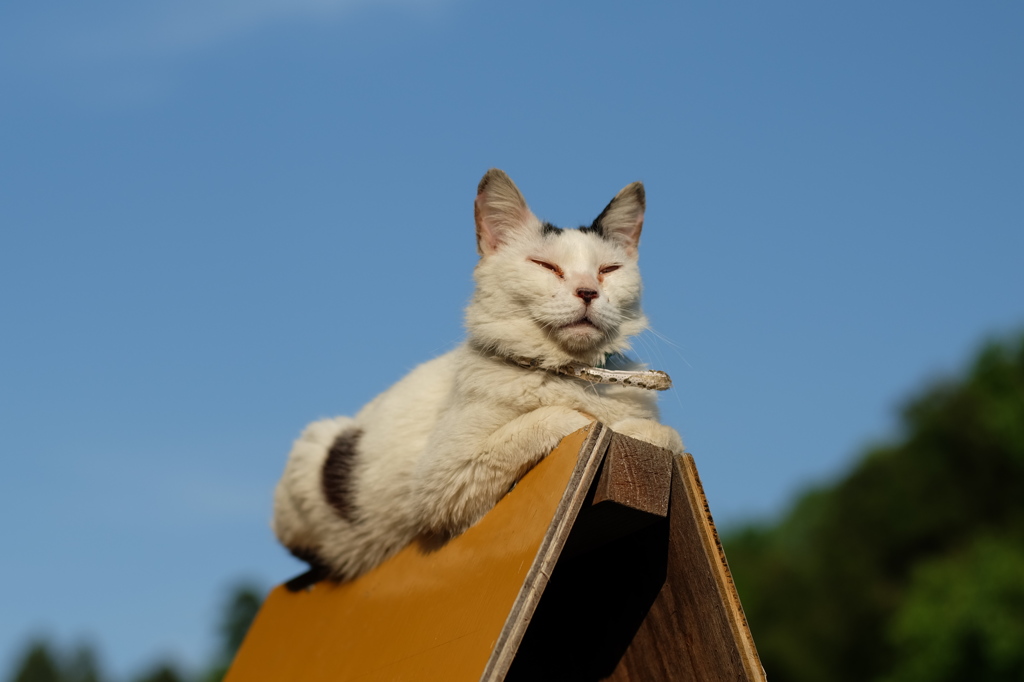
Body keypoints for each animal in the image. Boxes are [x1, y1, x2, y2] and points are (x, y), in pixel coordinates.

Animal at [276, 166, 684, 581]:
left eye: (608, 271)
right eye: (545, 266)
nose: (588, 291)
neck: (574, 375)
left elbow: (664, 435)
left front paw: (634, 429)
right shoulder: (445, 481)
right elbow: (557, 419)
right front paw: (594, 421)